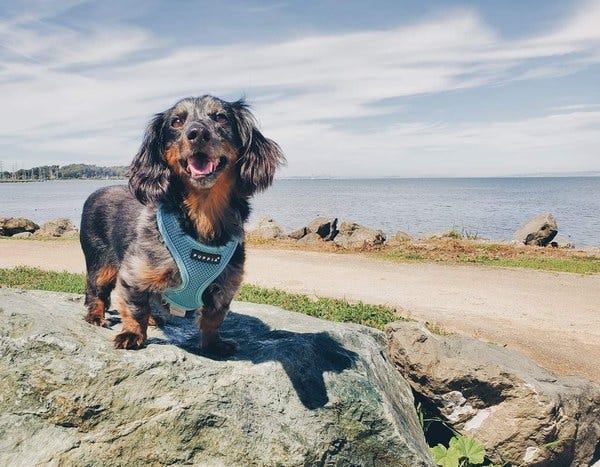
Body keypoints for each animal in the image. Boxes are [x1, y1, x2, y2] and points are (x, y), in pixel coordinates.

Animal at [79, 97, 284, 356]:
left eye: (221, 117)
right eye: (176, 122)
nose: (197, 133)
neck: (203, 215)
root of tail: (97, 191)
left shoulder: (225, 286)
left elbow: (213, 318)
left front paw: (213, 344)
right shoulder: (133, 274)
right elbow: (136, 308)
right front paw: (132, 335)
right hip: (100, 264)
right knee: (95, 291)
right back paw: (96, 316)